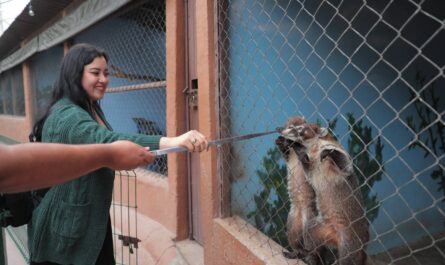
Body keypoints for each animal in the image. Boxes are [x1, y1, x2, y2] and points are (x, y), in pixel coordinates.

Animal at [278, 117, 368, 264]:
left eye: (299, 129)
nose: (280, 130)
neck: (313, 148)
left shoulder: (337, 152)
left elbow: (347, 167)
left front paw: (330, 153)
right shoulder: (312, 168)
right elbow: (309, 172)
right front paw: (299, 153)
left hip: (351, 244)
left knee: (348, 260)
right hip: (320, 227)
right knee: (308, 232)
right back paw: (305, 251)